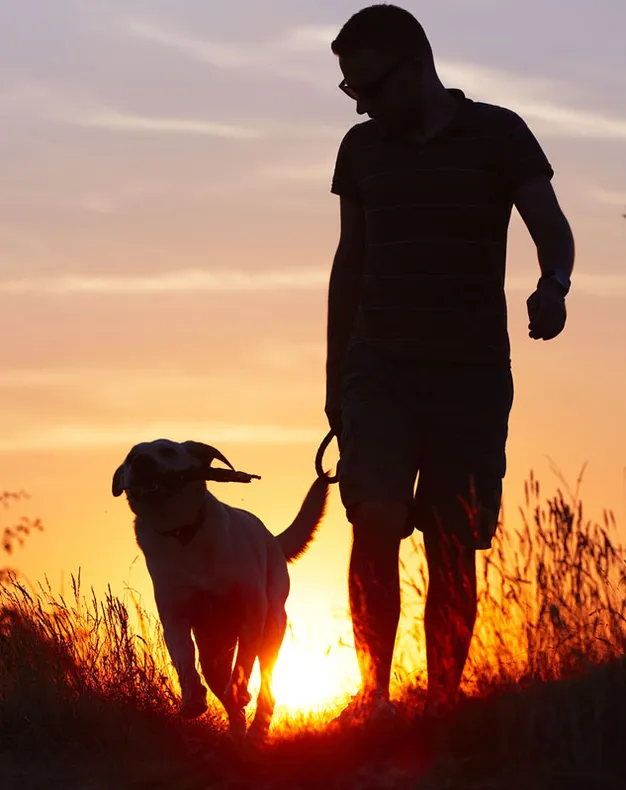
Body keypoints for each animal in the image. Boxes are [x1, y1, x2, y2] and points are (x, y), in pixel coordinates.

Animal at [111, 440, 326, 744]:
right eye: (130, 459)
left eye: (167, 450)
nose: (141, 462)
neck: (184, 533)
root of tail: (272, 539)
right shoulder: (174, 615)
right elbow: (183, 657)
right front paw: (193, 699)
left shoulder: (252, 613)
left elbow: (243, 664)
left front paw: (238, 690)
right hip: (213, 649)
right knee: (221, 684)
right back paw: (236, 733)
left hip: (272, 627)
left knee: (266, 687)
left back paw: (256, 731)